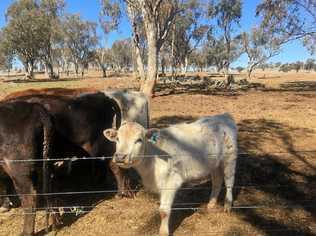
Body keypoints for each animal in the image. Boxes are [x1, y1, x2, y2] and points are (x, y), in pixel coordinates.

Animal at [103, 113, 237, 235]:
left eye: (139, 140)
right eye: (117, 139)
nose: (120, 157)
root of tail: (224, 116)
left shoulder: (172, 181)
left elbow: (164, 210)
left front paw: (163, 232)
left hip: (230, 159)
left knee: (229, 181)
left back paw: (227, 205)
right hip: (214, 164)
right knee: (217, 180)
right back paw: (211, 203)